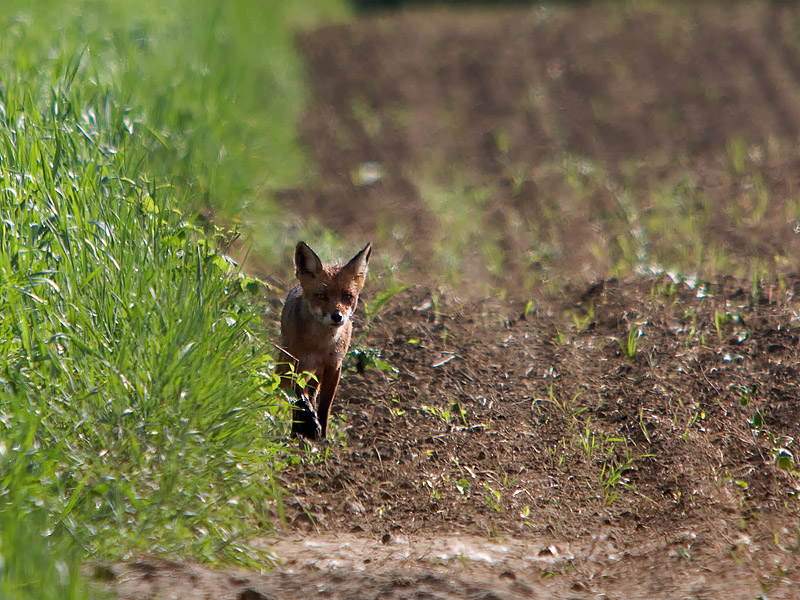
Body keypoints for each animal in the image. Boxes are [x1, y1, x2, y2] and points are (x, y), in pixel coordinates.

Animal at [278, 240, 372, 440]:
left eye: (347, 296)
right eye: (321, 296)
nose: (337, 316)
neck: (319, 345)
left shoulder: (333, 367)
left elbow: (324, 405)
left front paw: (322, 433)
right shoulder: (295, 364)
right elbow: (300, 399)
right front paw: (310, 425)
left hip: (317, 373)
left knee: (312, 394)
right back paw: (297, 431)